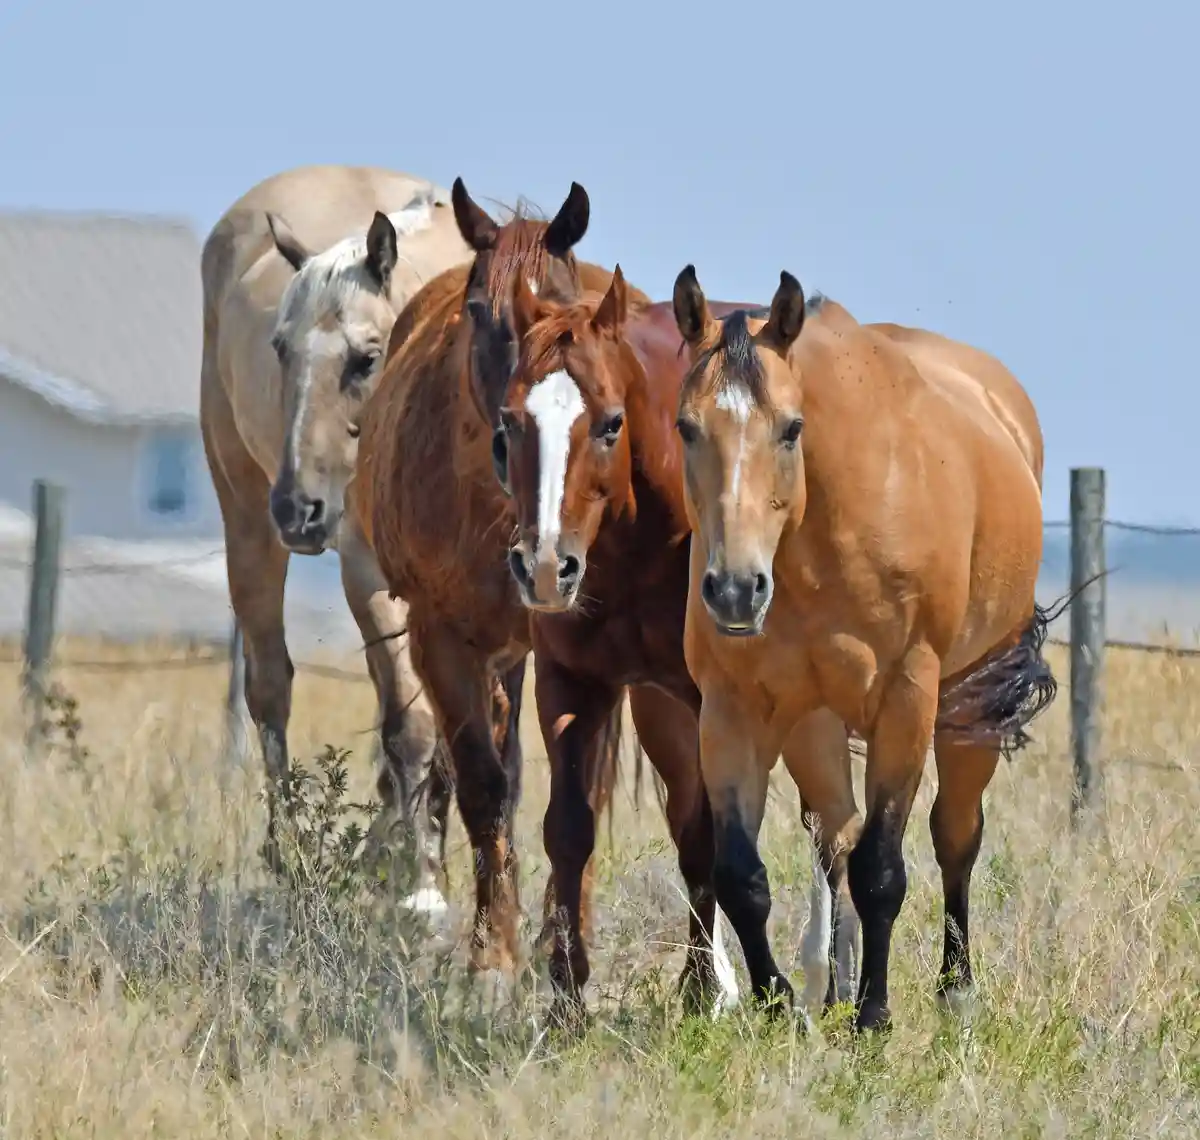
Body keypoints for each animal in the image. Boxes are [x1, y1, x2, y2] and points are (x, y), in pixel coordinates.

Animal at [200, 163, 518, 910]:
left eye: (367, 359)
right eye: (280, 350)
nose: (300, 509)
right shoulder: (372, 572)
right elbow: (413, 726)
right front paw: (422, 890)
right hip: (245, 518)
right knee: (270, 688)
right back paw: (290, 855)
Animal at [350, 177, 653, 980]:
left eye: (564, 302)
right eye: (481, 310)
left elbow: (577, 795)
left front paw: (558, 937)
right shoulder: (442, 640)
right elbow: (487, 786)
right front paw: (493, 953)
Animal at [492, 269, 863, 1023]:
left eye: (610, 422)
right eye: (510, 422)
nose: (544, 567)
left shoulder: (712, 700)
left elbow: (710, 832)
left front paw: (706, 989)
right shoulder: (574, 684)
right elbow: (572, 829)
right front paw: (567, 999)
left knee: (823, 821)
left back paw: (824, 973)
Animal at [670, 264, 1057, 1033]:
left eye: (791, 429)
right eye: (686, 427)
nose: (735, 591)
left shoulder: (906, 702)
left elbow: (883, 866)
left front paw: (874, 1017)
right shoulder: (732, 712)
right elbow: (740, 873)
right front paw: (777, 1001)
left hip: (969, 710)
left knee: (953, 835)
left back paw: (954, 991)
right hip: (813, 725)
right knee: (836, 836)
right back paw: (830, 984)